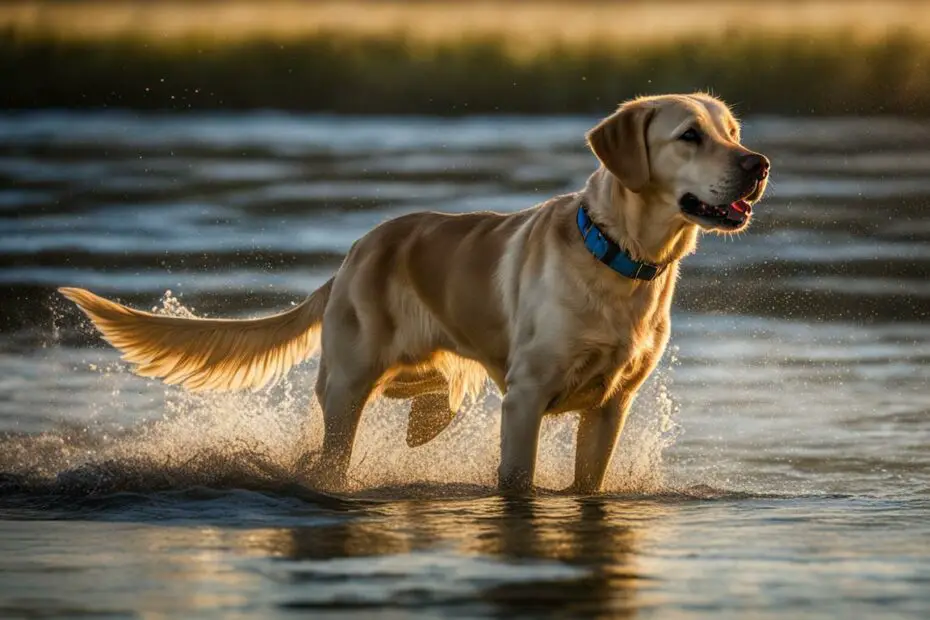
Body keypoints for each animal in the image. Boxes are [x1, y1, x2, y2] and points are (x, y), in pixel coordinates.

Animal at [59, 93, 768, 494]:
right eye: (689, 136)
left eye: (733, 131)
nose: (758, 163)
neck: (622, 259)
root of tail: (354, 251)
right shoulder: (526, 397)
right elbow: (517, 480)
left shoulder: (611, 406)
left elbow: (587, 483)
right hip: (348, 382)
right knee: (336, 447)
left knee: (434, 390)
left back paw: (426, 422)